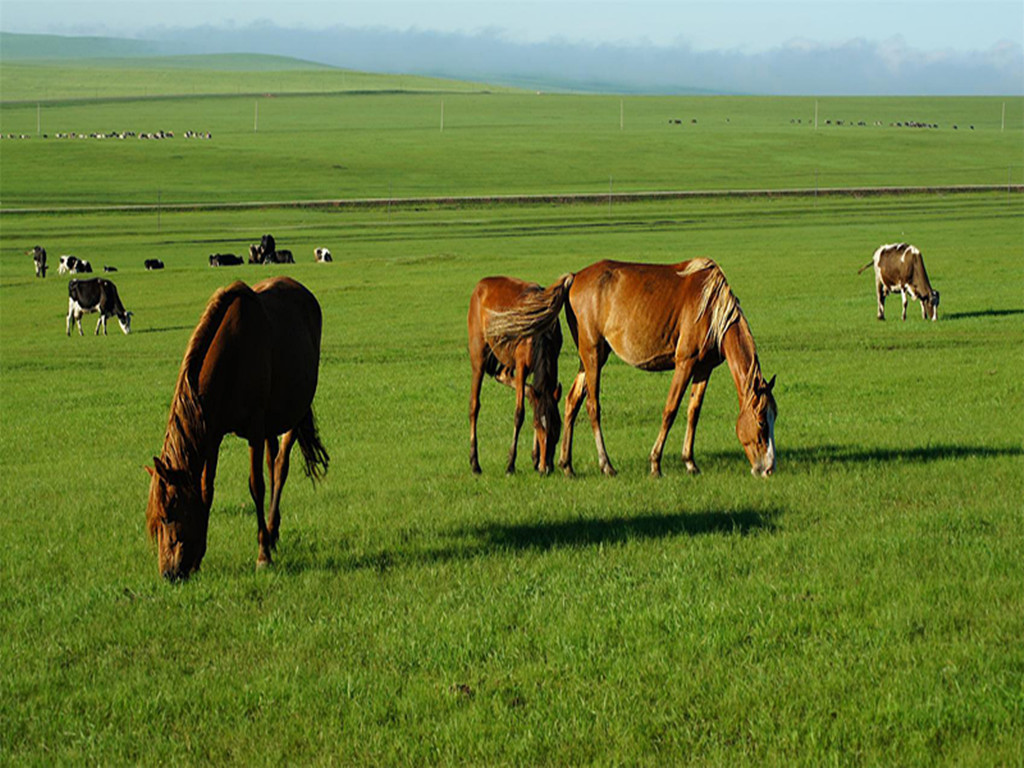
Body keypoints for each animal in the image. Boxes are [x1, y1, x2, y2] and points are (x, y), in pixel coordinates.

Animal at [144, 280, 325, 581]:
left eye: (168, 515)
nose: (168, 573)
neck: (232, 357)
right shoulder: (213, 435)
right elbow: (206, 489)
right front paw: (198, 559)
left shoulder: (254, 429)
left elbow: (257, 486)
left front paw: (262, 555)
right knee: (273, 462)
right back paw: (272, 533)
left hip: (293, 415)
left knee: (280, 467)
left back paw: (270, 534)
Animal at [468, 270, 577, 475]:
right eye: (536, 425)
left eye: (557, 427)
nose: (546, 467)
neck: (540, 335)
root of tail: (480, 285)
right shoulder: (521, 367)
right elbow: (519, 414)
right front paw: (511, 464)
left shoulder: (552, 363)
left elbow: (537, 399)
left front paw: (535, 459)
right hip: (479, 356)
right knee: (474, 406)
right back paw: (475, 463)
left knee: (503, 376)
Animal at [561, 264, 774, 481]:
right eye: (762, 422)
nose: (768, 469)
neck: (711, 309)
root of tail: (575, 277)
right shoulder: (685, 363)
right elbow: (670, 410)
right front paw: (655, 464)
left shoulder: (704, 368)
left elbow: (693, 411)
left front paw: (690, 462)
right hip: (593, 355)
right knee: (592, 406)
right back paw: (606, 465)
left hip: (590, 359)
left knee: (572, 401)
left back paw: (567, 465)